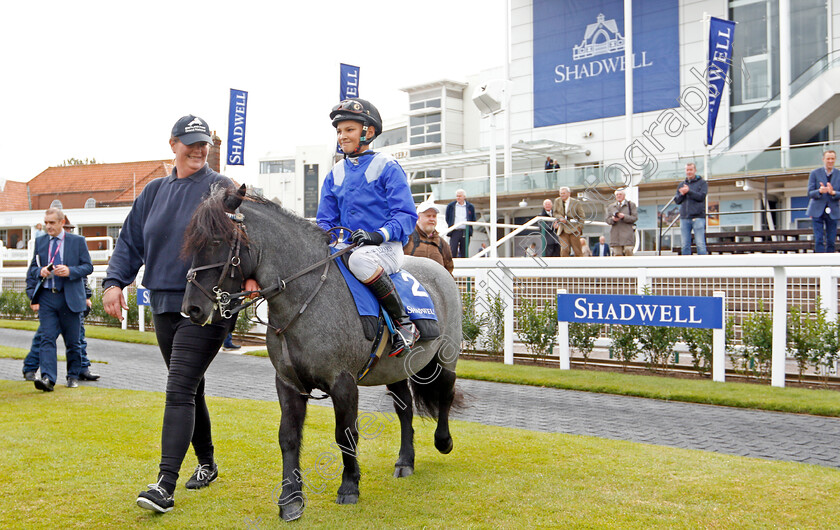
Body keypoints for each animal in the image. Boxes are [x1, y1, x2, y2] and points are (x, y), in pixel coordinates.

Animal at [181, 186, 466, 520]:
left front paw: (349, 486)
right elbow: (288, 437)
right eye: (192, 241)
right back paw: (405, 460)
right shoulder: (288, 383)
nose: (192, 308)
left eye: (216, 241)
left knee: (446, 390)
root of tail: (439, 269)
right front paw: (291, 499)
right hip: (395, 368)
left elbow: (346, 434)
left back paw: (443, 441)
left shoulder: (343, 383)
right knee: (405, 408)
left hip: (444, 358)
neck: (305, 298)